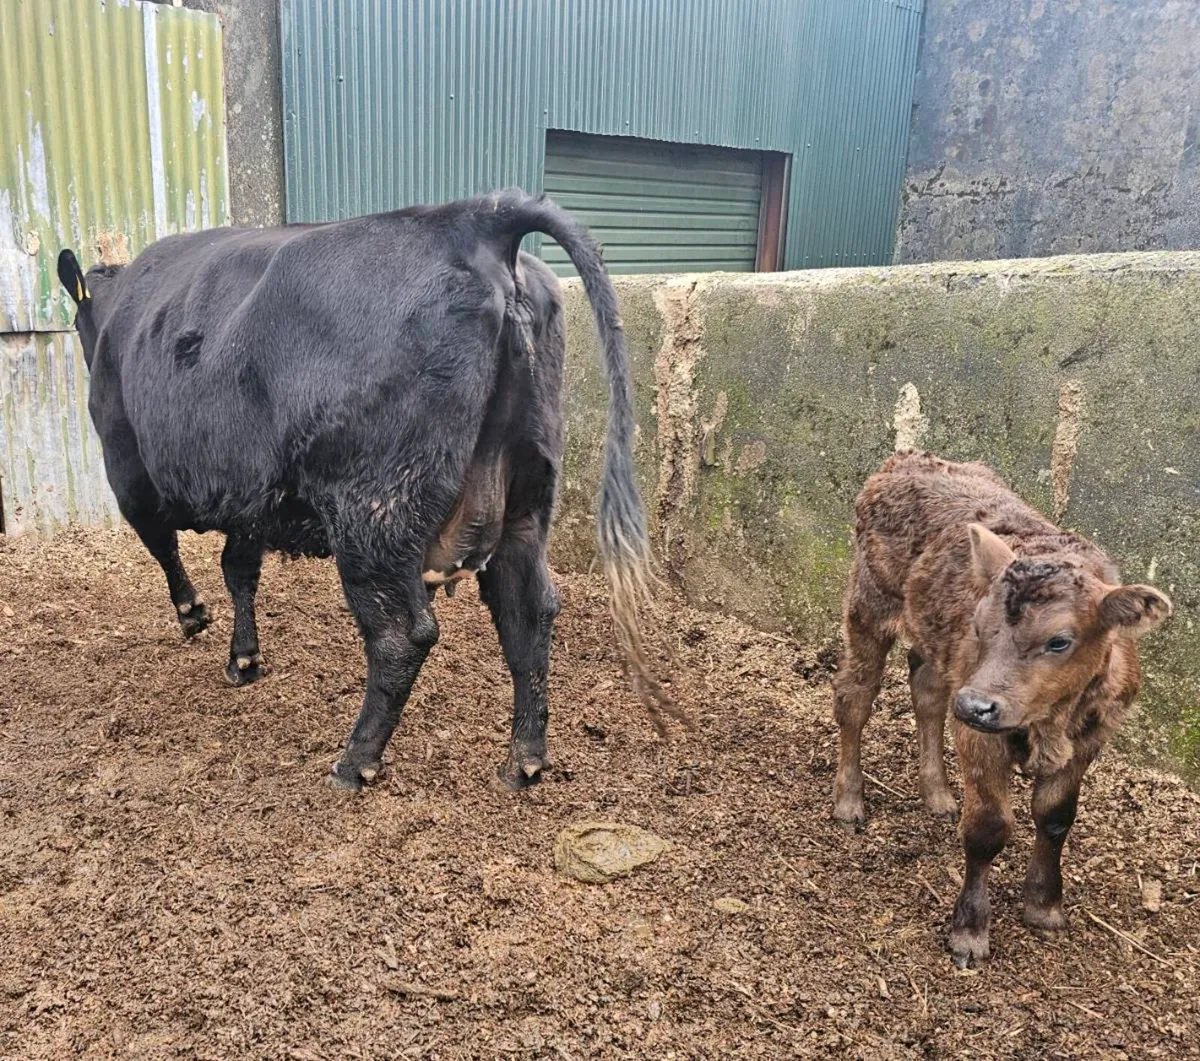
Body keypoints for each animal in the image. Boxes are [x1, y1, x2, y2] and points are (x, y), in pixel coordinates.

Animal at [57, 189, 689, 792]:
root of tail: (474, 218)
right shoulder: (251, 497)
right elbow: (239, 568)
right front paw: (244, 656)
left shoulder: (127, 468)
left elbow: (166, 548)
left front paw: (193, 616)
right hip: (527, 496)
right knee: (527, 611)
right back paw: (523, 761)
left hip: (372, 513)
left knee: (401, 635)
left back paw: (355, 761)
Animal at [831, 451, 1171, 967]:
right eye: (978, 623)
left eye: (1059, 641)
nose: (976, 704)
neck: (1050, 724)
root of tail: (907, 458)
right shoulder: (980, 735)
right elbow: (989, 828)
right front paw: (970, 931)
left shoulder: (1092, 736)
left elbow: (1056, 816)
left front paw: (1045, 906)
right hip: (871, 604)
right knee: (855, 696)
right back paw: (850, 799)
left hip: (939, 649)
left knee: (927, 691)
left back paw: (938, 794)